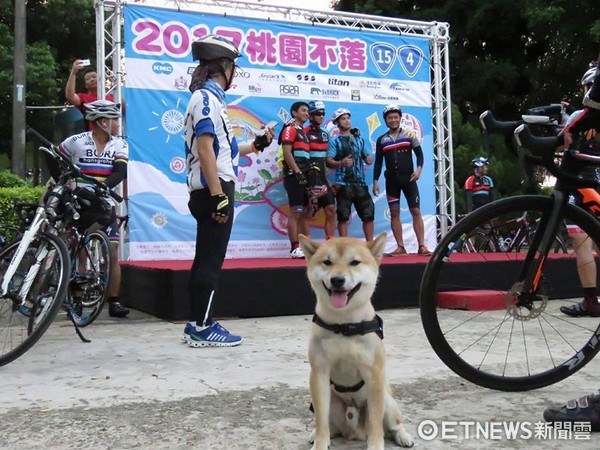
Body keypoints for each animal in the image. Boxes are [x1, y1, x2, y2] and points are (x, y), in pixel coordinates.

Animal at [298, 234, 412, 448]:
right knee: (329, 424)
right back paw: (318, 434)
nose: (337, 280)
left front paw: (376, 445)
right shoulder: (319, 373)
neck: (344, 325)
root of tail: (355, 432)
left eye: (354, 262)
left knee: (393, 425)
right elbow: (321, 419)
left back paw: (403, 436)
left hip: (387, 400)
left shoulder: (374, 374)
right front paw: (320, 443)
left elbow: (375, 422)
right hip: (331, 400)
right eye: (327, 262)